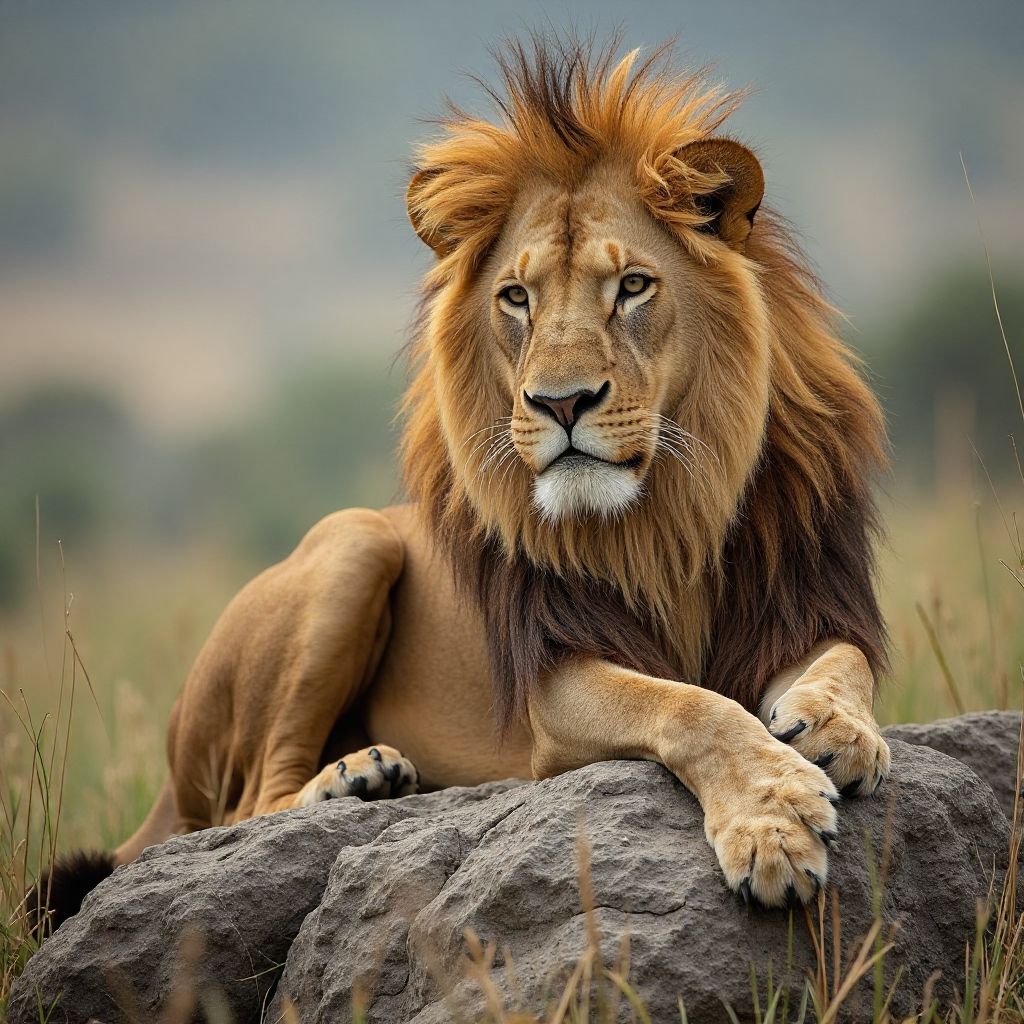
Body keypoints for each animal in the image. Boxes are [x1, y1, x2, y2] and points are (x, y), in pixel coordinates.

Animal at [32, 36, 890, 930]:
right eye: (516, 298)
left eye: (632, 286)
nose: (561, 402)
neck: (672, 513)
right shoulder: (556, 680)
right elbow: (690, 704)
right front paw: (771, 820)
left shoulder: (803, 604)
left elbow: (845, 661)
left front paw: (840, 730)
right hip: (354, 540)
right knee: (245, 805)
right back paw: (355, 779)